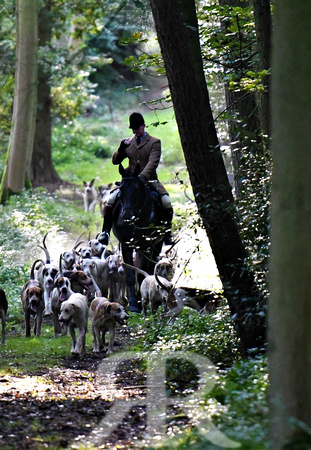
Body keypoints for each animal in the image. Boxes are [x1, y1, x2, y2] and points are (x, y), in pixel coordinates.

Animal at [109, 163, 166, 312]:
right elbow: (130, 274)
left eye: (137, 189)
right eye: (121, 190)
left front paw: (140, 300)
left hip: (156, 244)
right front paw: (134, 304)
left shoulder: (146, 245)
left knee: (150, 267)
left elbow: (142, 272)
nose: (127, 217)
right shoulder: (126, 245)